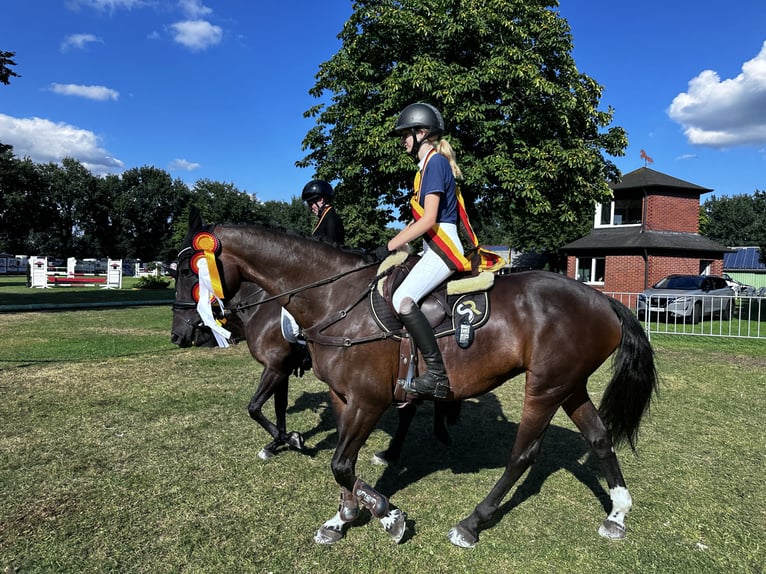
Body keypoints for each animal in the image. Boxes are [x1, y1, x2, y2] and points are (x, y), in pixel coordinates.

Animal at [172, 209, 660, 552]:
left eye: (190, 271)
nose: (181, 333)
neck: (333, 298)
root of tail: (602, 300)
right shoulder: (338, 396)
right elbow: (338, 461)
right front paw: (341, 516)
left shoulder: (365, 400)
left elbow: (339, 463)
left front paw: (386, 515)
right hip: (569, 386)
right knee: (599, 438)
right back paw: (617, 512)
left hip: (545, 387)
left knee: (523, 455)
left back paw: (472, 523)